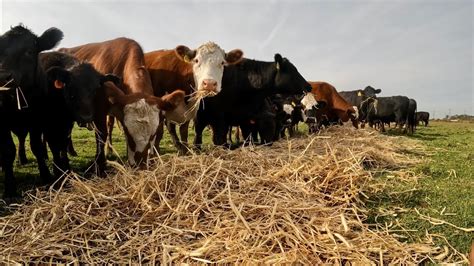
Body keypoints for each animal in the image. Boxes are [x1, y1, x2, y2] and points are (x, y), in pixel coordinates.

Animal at [0, 26, 63, 198]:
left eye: (29, 51)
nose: (3, 76)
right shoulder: (2, 123)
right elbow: (8, 151)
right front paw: (10, 187)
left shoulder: (37, 120)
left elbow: (37, 147)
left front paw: (46, 176)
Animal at [59, 38, 185, 174]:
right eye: (126, 131)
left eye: (154, 133)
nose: (140, 165)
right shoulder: (99, 110)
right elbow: (102, 134)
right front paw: (100, 164)